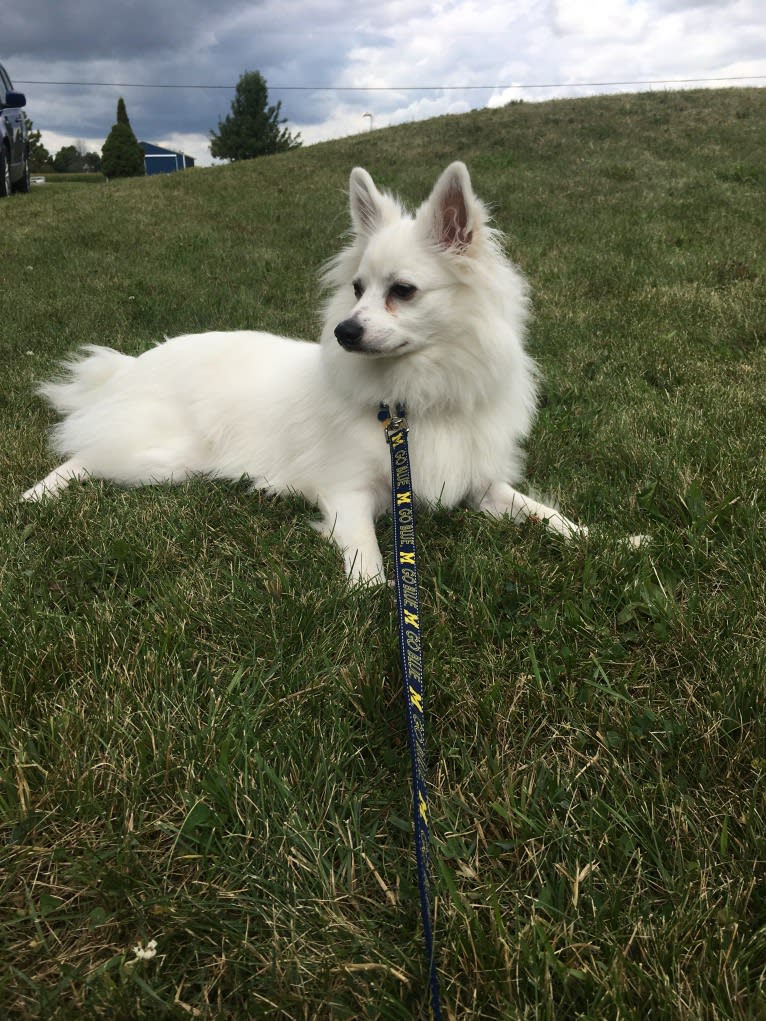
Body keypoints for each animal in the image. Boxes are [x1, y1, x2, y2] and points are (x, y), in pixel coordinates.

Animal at [22, 163, 588, 588]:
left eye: (402, 291)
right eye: (357, 288)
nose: (344, 330)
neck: (411, 398)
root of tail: (134, 365)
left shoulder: (478, 483)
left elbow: (534, 509)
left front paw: (592, 537)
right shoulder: (348, 493)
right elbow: (367, 553)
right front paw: (370, 593)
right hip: (163, 459)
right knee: (85, 455)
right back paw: (37, 496)